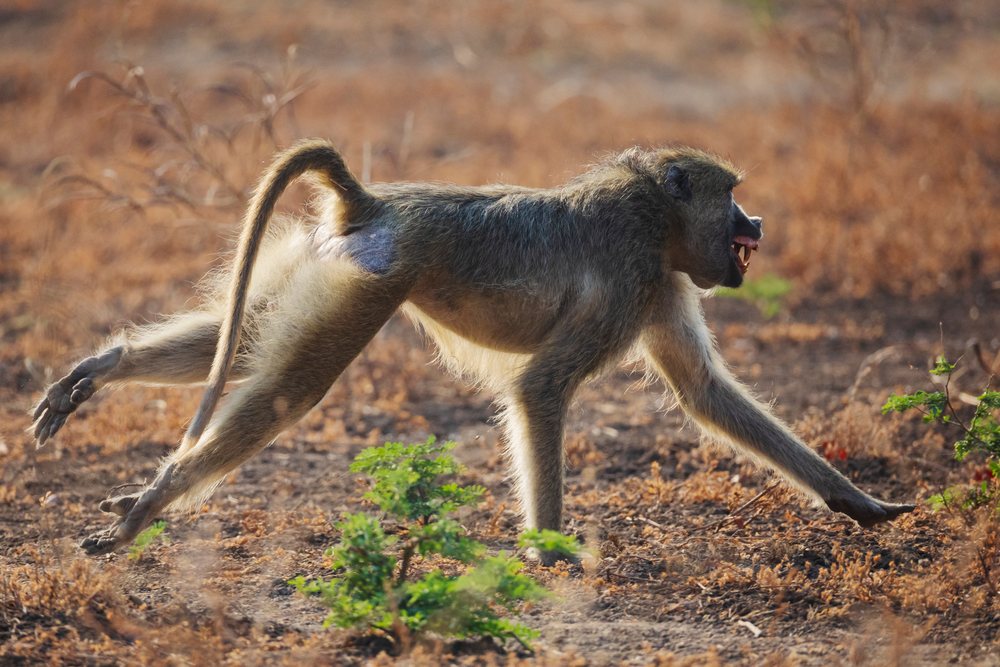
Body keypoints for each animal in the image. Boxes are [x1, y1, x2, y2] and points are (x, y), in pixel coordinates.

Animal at [31, 139, 914, 559]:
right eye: (730, 194)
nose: (755, 222)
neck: (652, 214)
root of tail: (373, 201)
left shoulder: (661, 284)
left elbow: (705, 393)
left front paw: (858, 502)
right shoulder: (634, 279)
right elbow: (539, 391)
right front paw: (549, 548)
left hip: (323, 259)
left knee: (242, 341)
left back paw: (98, 377)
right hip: (367, 279)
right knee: (291, 389)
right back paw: (147, 508)